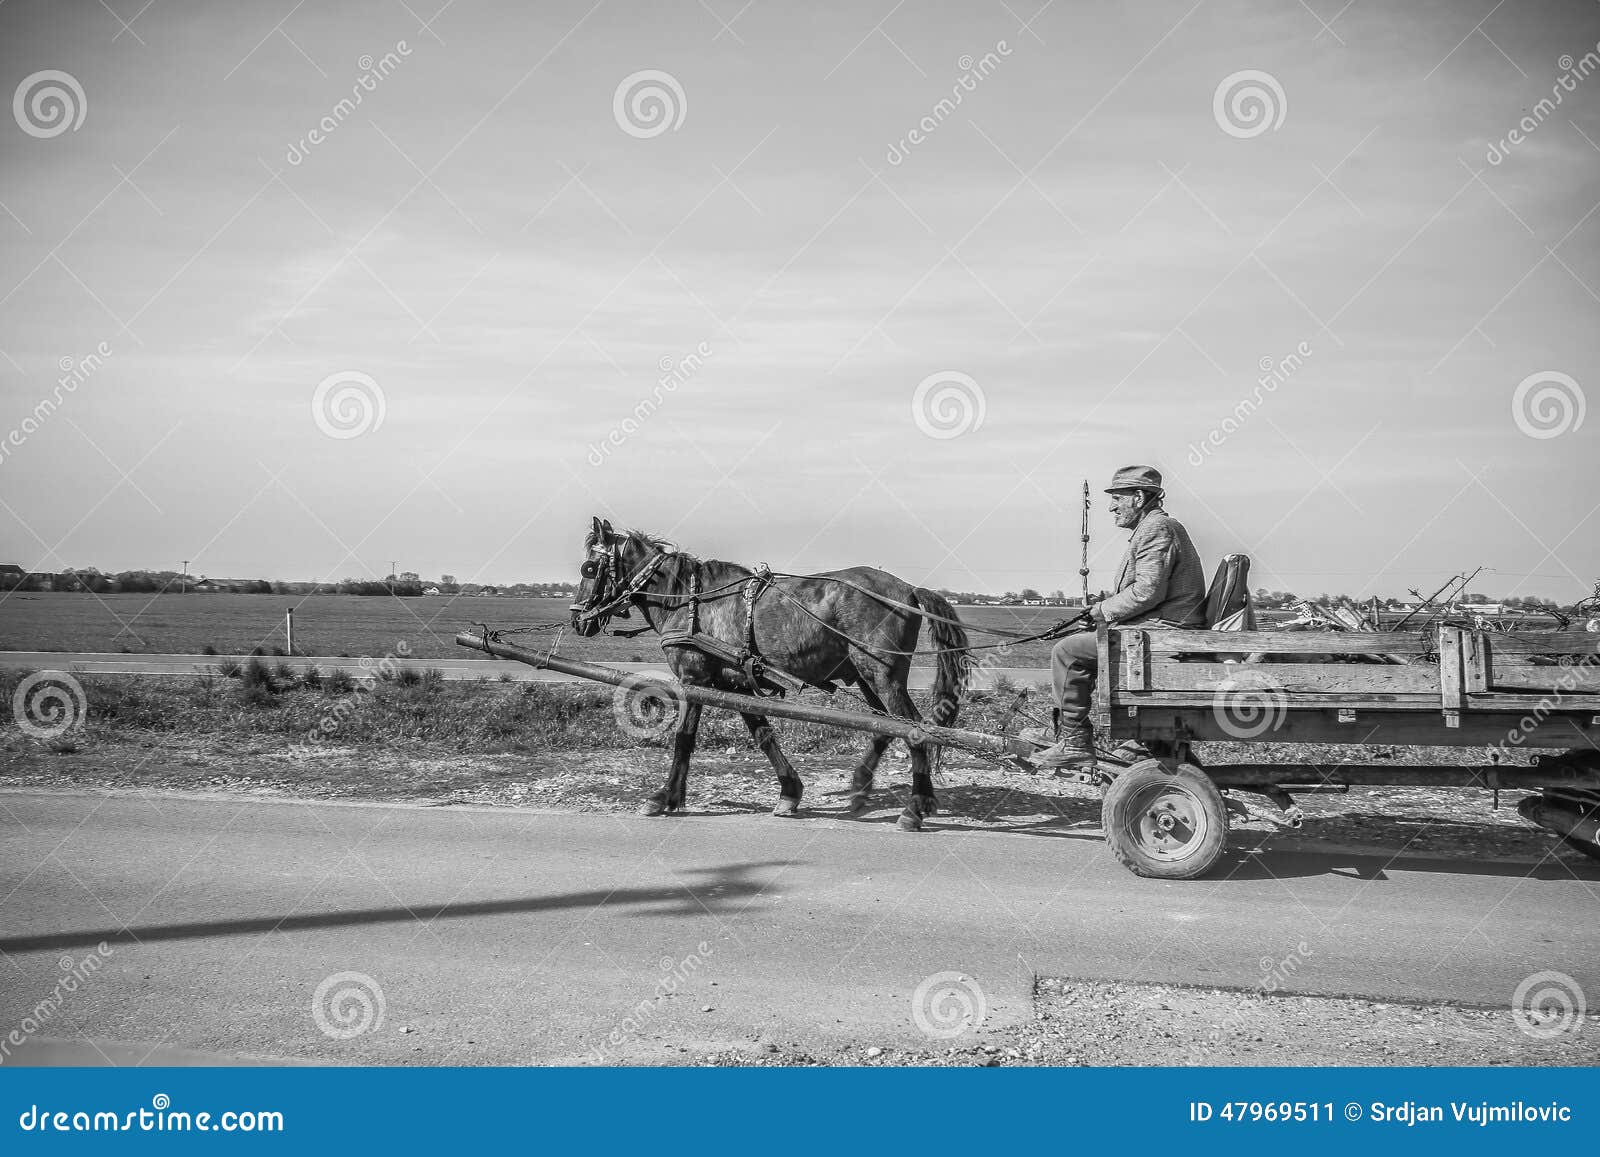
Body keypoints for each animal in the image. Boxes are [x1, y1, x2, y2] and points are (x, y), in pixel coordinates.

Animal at [569, 517, 970, 831]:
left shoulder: (694, 679)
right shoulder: (735, 682)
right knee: (884, 726)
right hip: (864, 674)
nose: (578, 619)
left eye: (589, 568)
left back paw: (915, 808)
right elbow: (762, 734)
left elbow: (684, 739)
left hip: (881, 675)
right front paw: (790, 792)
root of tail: (909, 590)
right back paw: (861, 787)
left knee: (912, 727)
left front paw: (664, 796)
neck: (688, 600)